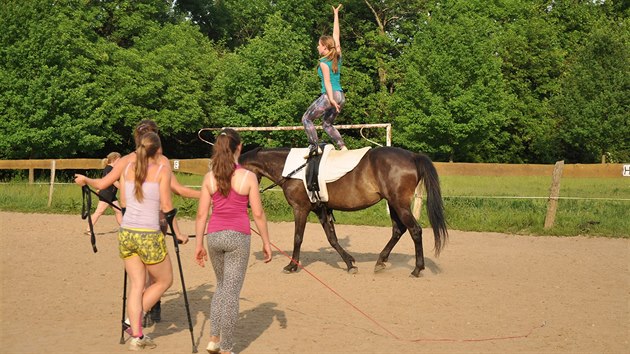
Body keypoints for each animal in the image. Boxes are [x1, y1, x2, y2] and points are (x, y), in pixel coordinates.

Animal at [238, 147, 450, 276]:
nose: (246, 202)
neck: (293, 169)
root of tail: (413, 156)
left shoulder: (300, 209)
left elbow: (298, 237)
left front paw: (292, 265)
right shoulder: (320, 210)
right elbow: (332, 239)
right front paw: (349, 263)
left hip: (399, 204)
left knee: (415, 230)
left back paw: (417, 268)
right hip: (394, 204)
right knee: (398, 230)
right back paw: (381, 261)